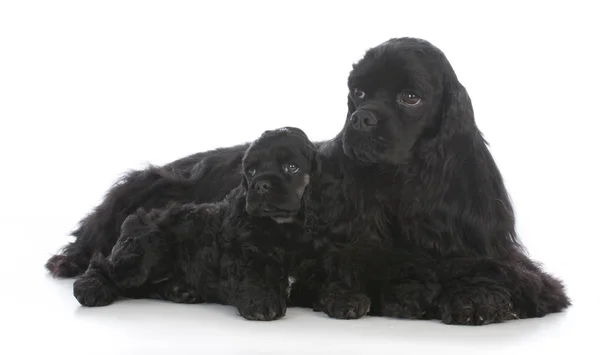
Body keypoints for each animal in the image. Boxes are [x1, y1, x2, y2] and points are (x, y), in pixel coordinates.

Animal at [71, 128, 318, 322]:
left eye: (291, 167)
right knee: (105, 263)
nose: (262, 185)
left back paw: (178, 290)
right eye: (252, 170)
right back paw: (92, 287)